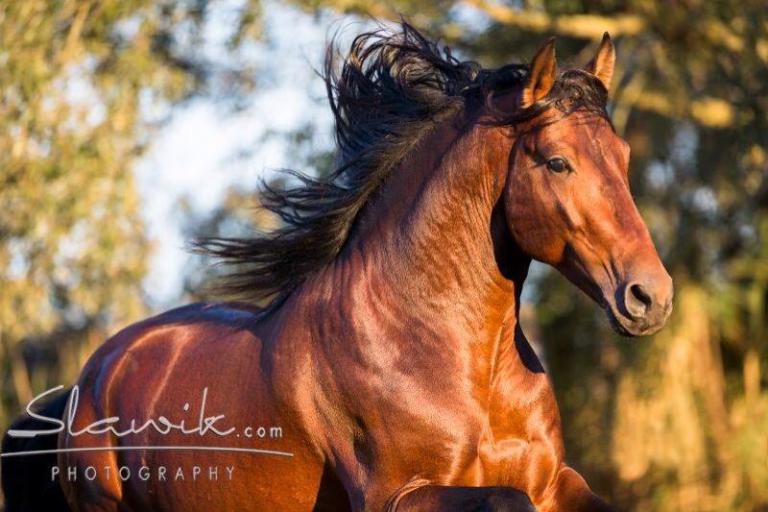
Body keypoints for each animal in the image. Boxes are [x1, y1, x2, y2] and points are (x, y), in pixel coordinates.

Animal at [1, 23, 673, 511]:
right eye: (556, 161)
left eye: (623, 155)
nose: (650, 296)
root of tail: (87, 381)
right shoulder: (399, 495)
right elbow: (507, 501)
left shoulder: (555, 480)